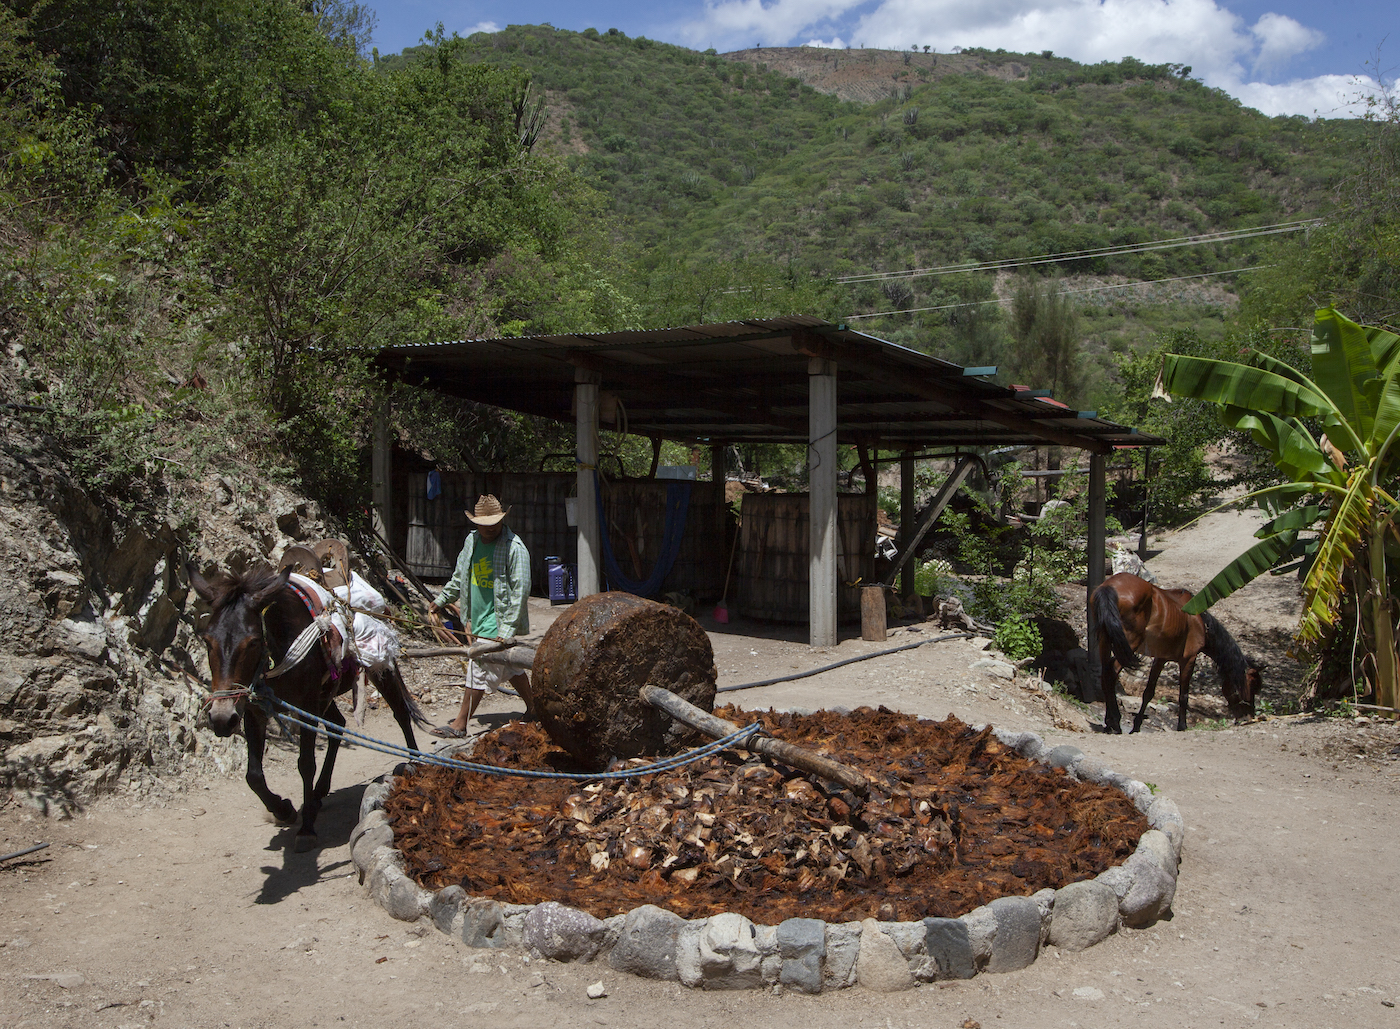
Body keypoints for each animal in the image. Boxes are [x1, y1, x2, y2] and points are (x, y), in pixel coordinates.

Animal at [190, 568, 431, 851]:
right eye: (207, 641)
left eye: (252, 642)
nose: (221, 719)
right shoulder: (254, 709)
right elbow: (254, 775)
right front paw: (283, 809)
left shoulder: (306, 705)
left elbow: (306, 764)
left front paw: (306, 829)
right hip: (325, 697)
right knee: (338, 725)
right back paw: (317, 795)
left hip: (380, 669)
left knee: (400, 713)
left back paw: (414, 763)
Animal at [1092, 571, 1260, 733]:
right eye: (1251, 686)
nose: (1249, 717)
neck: (1200, 621)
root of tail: (1110, 587)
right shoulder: (1189, 659)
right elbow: (1183, 696)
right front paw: (1182, 726)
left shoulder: (1160, 659)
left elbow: (1148, 692)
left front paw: (1136, 726)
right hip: (1128, 645)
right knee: (1111, 673)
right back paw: (1115, 723)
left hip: (1105, 642)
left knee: (1105, 675)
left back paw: (1109, 723)